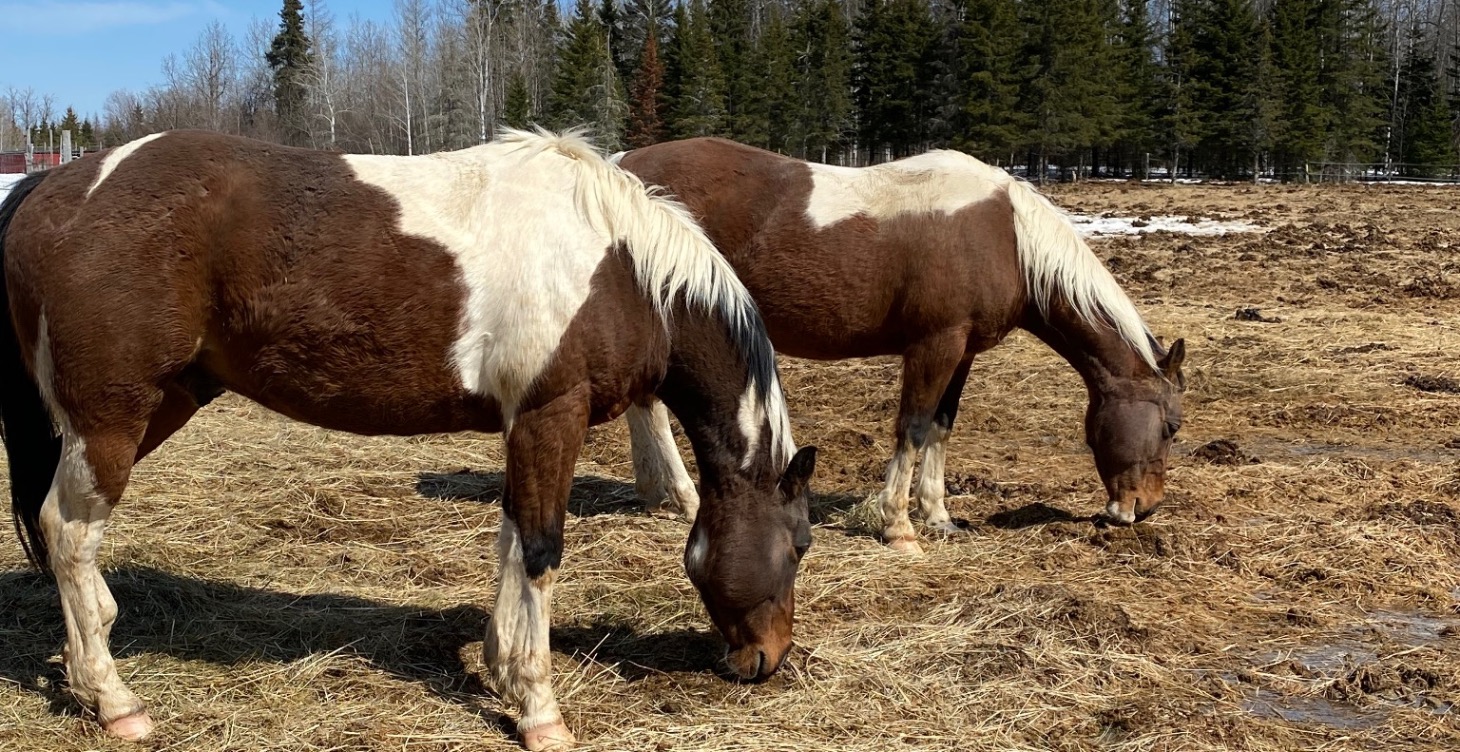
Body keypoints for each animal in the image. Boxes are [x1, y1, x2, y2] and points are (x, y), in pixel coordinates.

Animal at [0, 128, 817, 751]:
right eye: (801, 545)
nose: (768, 659)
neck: (620, 267)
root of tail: (56, 186)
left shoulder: (523, 426)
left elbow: (512, 543)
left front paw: (501, 668)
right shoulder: (552, 414)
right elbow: (540, 552)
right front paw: (539, 708)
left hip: (157, 406)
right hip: (112, 419)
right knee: (67, 532)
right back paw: (114, 700)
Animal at [614, 138, 1185, 555]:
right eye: (1172, 427)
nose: (1143, 508)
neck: (1008, 237)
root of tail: (625, 167)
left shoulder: (963, 351)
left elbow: (941, 427)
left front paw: (938, 515)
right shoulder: (935, 346)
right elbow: (912, 428)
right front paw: (899, 528)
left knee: (643, 406)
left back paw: (654, 493)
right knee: (655, 411)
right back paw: (685, 497)